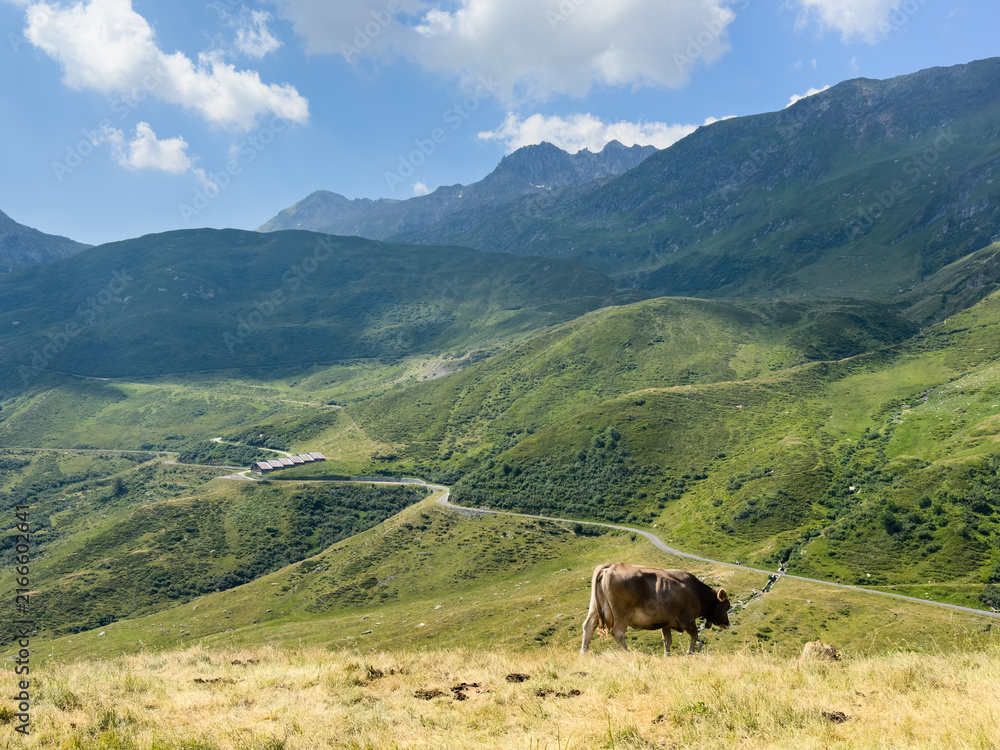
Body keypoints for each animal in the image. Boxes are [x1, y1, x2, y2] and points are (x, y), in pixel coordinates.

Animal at [580, 562, 731, 656]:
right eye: (727, 606)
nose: (728, 624)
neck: (697, 592)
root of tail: (611, 566)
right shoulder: (687, 619)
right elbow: (694, 636)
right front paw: (690, 653)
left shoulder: (666, 622)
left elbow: (667, 641)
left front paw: (667, 655)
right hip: (622, 612)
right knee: (618, 633)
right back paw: (629, 653)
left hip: (594, 607)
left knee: (589, 626)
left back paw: (583, 652)